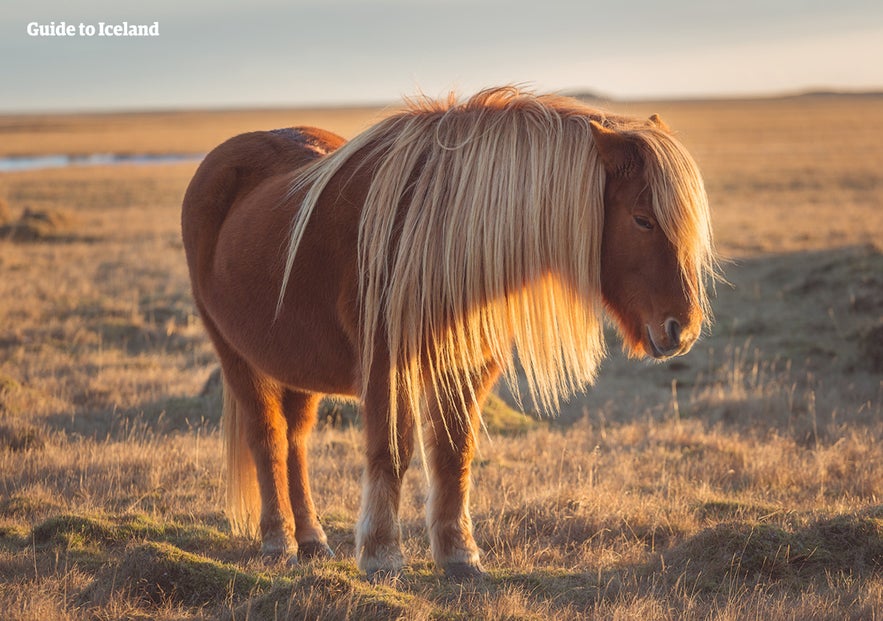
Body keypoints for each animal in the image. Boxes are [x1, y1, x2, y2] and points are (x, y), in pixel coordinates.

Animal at [181, 86, 720, 576]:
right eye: (643, 219)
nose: (683, 328)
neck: (439, 237)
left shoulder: (468, 364)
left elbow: (454, 454)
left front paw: (459, 554)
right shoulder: (385, 365)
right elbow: (391, 451)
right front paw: (381, 554)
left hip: (295, 364)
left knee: (295, 441)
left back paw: (312, 541)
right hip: (236, 355)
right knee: (268, 439)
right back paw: (278, 542)